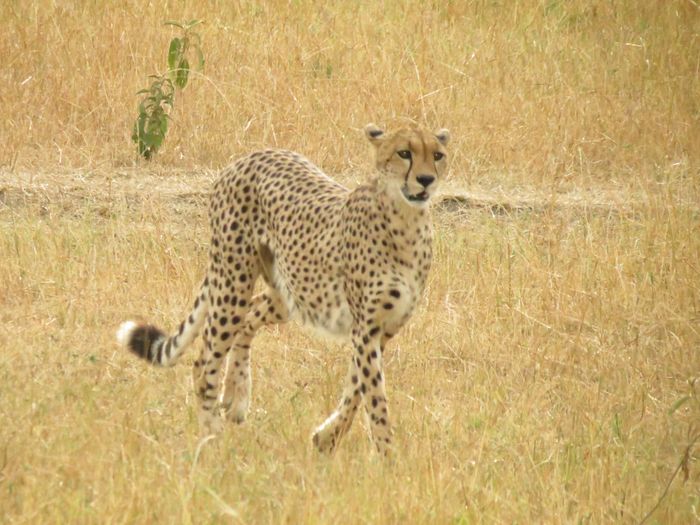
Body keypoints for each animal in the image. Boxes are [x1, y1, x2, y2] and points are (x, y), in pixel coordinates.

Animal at [116, 123, 450, 456]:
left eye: (437, 155)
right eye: (404, 153)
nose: (426, 180)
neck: (406, 221)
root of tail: (250, 156)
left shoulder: (385, 327)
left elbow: (356, 387)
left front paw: (327, 437)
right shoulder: (366, 327)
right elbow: (374, 396)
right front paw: (387, 454)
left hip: (290, 293)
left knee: (248, 319)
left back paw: (236, 397)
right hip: (233, 281)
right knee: (205, 358)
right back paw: (212, 434)